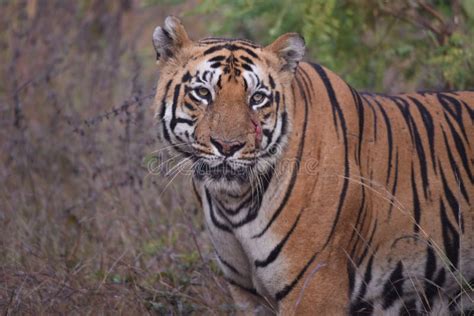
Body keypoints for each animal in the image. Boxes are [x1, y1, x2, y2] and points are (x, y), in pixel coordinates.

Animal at [153, 15, 474, 316]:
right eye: (203, 93)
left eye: (257, 98)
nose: (228, 146)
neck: (232, 203)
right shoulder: (247, 296)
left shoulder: (315, 288)